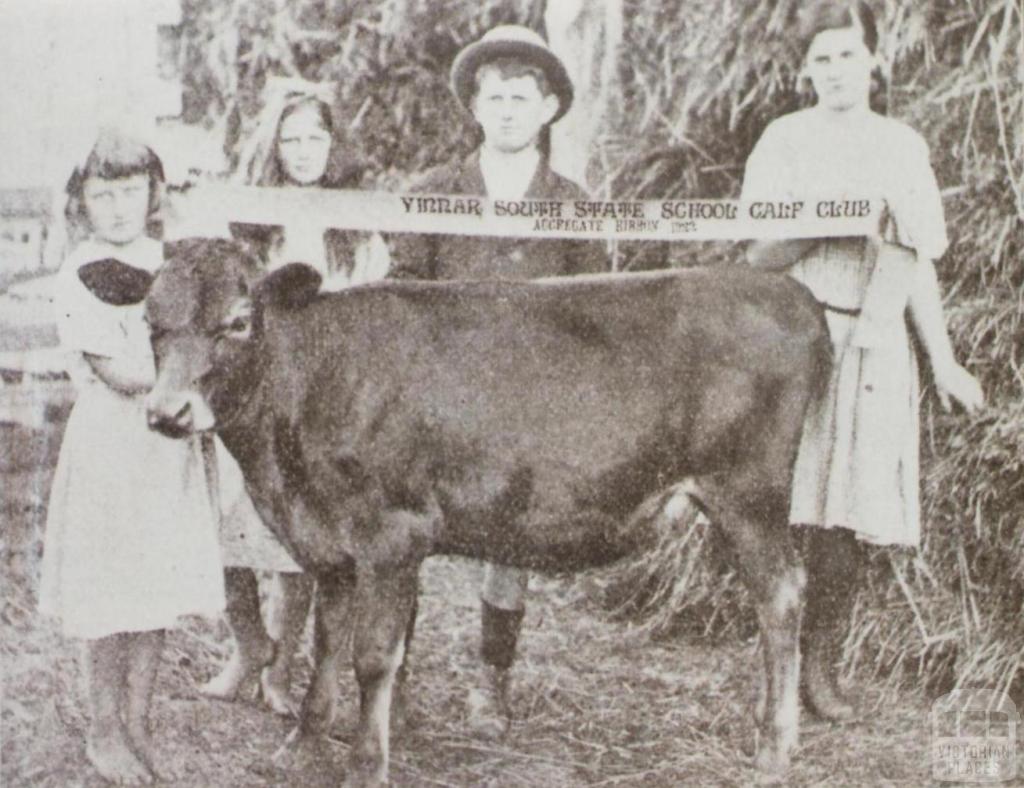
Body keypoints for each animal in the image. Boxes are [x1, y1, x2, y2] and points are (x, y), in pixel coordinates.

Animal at [81, 236, 831, 781]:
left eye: (237, 322)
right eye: (149, 320)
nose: (167, 412)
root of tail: (788, 292)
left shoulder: (391, 535)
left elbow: (373, 657)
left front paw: (366, 764)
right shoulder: (331, 544)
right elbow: (327, 643)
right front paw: (300, 744)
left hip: (749, 493)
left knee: (784, 595)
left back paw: (775, 748)